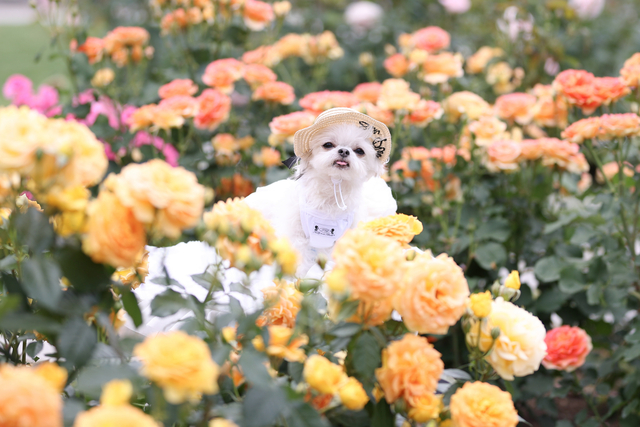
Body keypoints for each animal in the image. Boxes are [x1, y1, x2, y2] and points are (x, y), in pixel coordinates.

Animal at [244, 108, 396, 278]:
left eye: (359, 151)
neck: (332, 188)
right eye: (328, 145)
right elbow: (299, 257)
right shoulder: (296, 234)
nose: (344, 151)